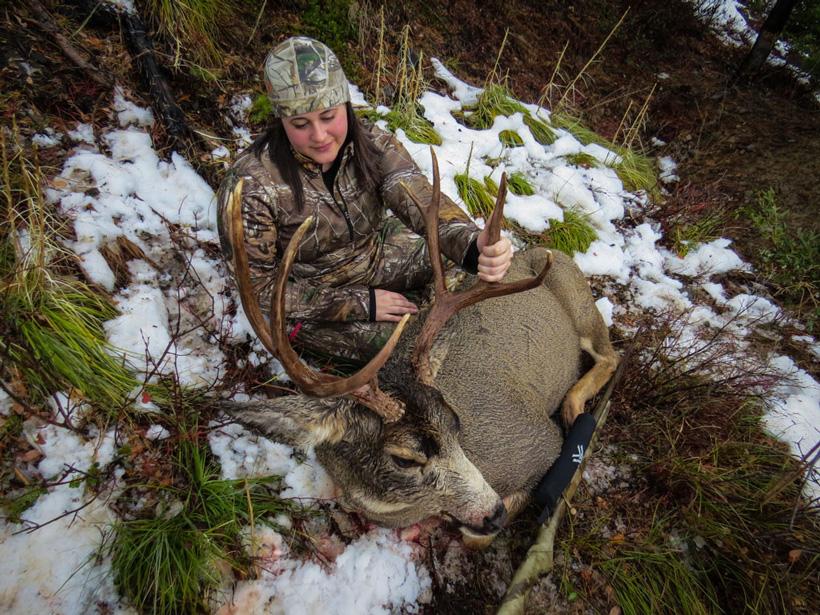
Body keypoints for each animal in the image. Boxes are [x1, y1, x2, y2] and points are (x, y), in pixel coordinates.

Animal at [219, 150, 618, 543]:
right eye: (405, 459)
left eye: (455, 424)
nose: (493, 513)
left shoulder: (542, 444)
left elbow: (476, 535)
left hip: (576, 296)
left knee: (611, 355)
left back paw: (574, 406)